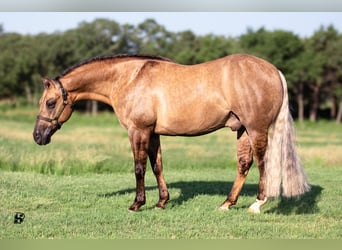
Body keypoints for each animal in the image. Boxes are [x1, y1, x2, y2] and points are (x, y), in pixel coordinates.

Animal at [33, 52, 312, 213]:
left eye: (50, 102)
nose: (38, 136)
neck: (129, 78)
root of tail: (274, 70)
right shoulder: (153, 133)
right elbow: (157, 166)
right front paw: (161, 202)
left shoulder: (138, 131)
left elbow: (139, 167)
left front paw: (137, 203)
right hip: (241, 129)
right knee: (244, 164)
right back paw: (226, 204)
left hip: (255, 129)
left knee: (263, 162)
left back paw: (257, 204)